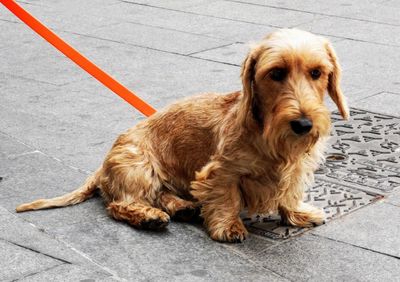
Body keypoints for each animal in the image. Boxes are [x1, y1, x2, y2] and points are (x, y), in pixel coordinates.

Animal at [15, 29, 346, 243]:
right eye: (276, 73)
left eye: (317, 72)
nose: (303, 124)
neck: (269, 136)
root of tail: (102, 166)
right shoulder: (220, 173)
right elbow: (226, 197)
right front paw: (228, 226)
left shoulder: (297, 168)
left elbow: (289, 193)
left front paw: (297, 212)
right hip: (139, 167)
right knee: (121, 205)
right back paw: (149, 217)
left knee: (162, 195)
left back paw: (184, 208)